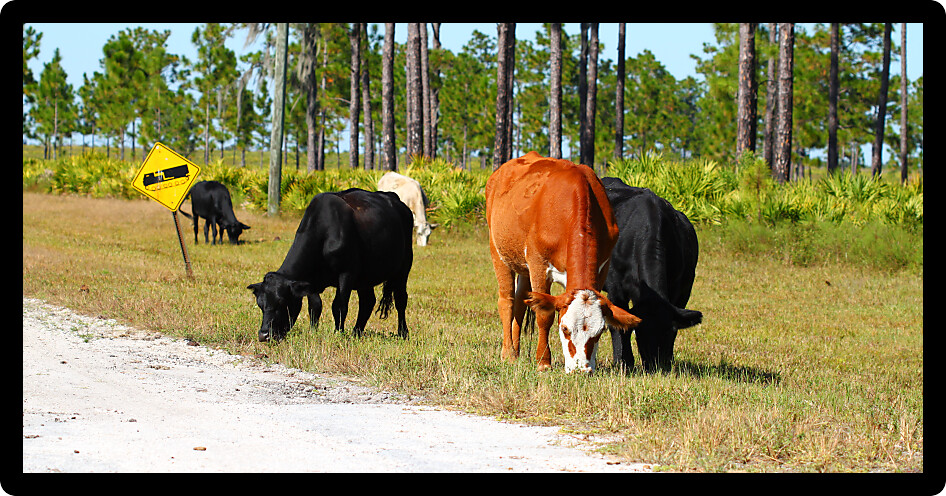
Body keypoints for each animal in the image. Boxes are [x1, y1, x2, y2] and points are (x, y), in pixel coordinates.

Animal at [247, 188, 414, 342]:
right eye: (260, 304)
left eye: (282, 302)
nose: (264, 335)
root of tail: (393, 198)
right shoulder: (310, 280)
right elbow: (315, 306)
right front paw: (313, 331)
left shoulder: (346, 273)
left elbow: (339, 306)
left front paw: (338, 333)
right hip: (365, 278)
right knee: (367, 302)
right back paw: (356, 333)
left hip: (404, 267)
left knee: (400, 299)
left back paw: (403, 333)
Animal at [485, 151, 641, 374]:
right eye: (565, 328)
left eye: (599, 331)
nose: (581, 370)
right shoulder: (539, 265)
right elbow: (544, 315)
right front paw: (543, 361)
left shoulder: (603, 266)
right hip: (498, 253)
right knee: (507, 301)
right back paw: (508, 354)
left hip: (523, 268)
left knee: (520, 304)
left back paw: (516, 350)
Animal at [601, 177, 702, 373]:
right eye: (640, 332)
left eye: (668, 331)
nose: (655, 366)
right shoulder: (616, 288)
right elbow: (619, 326)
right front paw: (624, 362)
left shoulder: (681, 289)